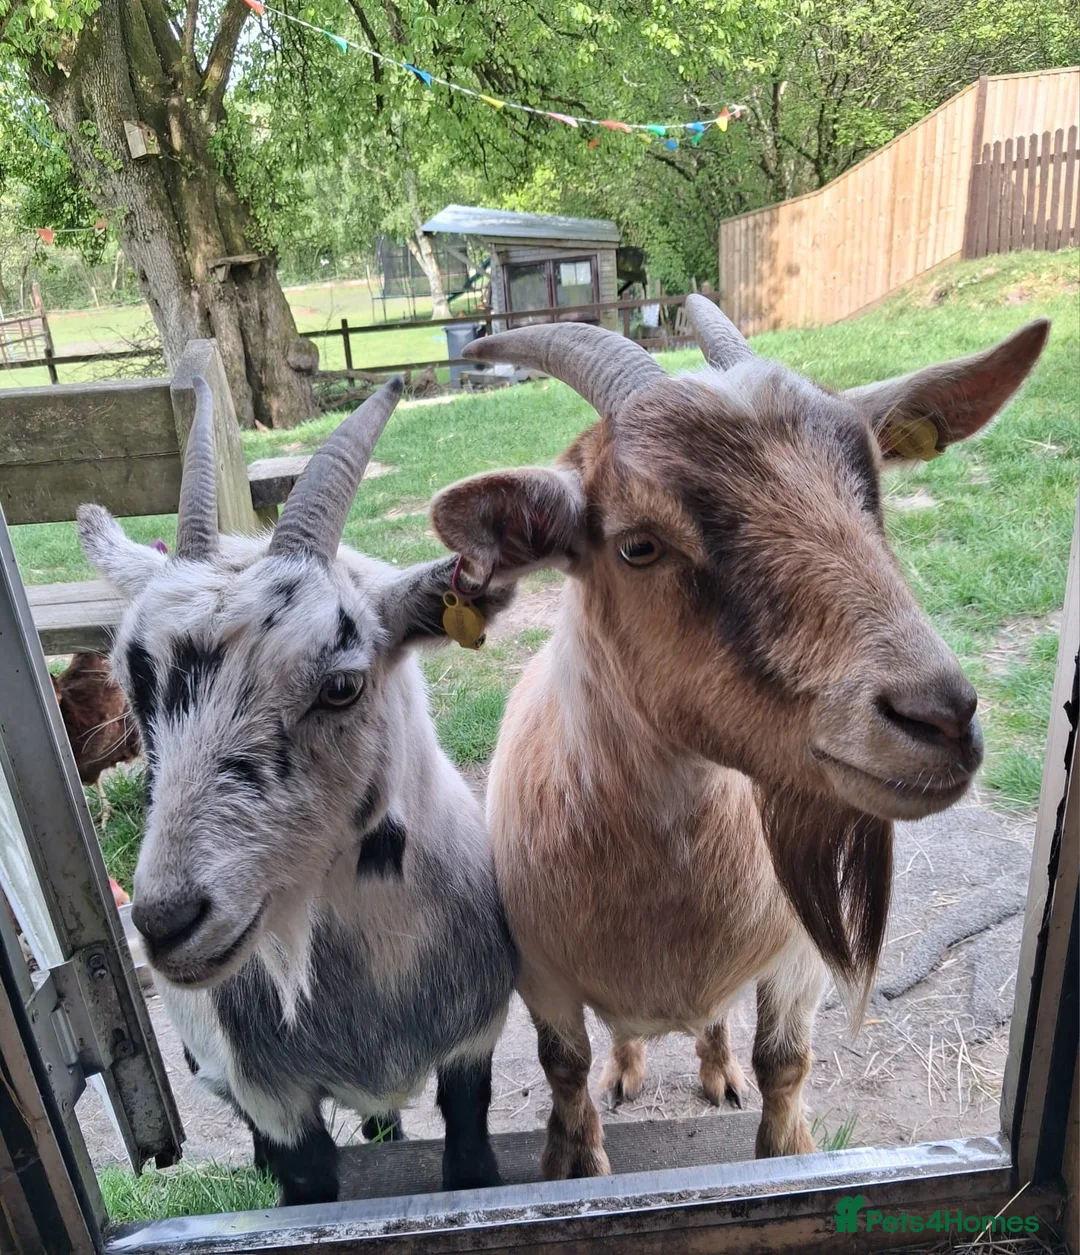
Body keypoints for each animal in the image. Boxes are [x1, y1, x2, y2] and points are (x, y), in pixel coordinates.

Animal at [76, 378, 517, 1205]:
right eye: (134, 684)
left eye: (341, 684)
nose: (167, 921)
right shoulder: (274, 1097)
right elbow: (302, 1175)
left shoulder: (473, 1043)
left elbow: (471, 1157)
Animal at [430, 303, 1048, 1176]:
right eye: (638, 543)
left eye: (871, 486)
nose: (940, 716)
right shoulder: (541, 978)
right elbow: (565, 1070)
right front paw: (576, 1155)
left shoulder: (795, 960)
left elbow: (783, 1063)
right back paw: (629, 1068)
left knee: (717, 1023)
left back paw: (717, 1071)